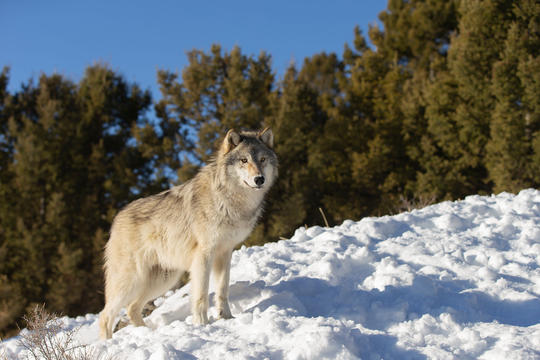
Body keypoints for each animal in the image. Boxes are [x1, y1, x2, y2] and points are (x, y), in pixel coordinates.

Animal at [97, 128, 276, 338]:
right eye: (244, 160)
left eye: (262, 159)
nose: (259, 179)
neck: (229, 200)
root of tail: (117, 218)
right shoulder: (204, 256)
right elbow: (201, 294)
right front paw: (202, 325)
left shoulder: (225, 253)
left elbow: (223, 290)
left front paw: (226, 318)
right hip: (131, 281)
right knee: (105, 315)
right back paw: (108, 342)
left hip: (162, 280)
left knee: (132, 308)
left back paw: (147, 333)